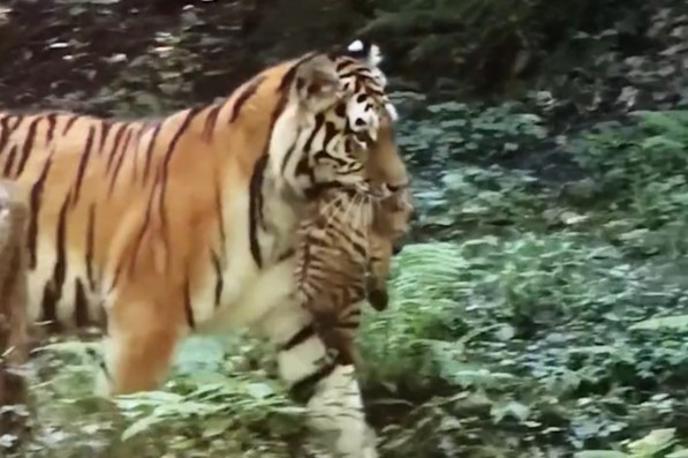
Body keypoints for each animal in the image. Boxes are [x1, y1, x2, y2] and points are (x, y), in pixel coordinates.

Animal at [0, 39, 413, 457]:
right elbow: (134, 424)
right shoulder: (144, 322)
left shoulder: (292, 316)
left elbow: (341, 408)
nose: (400, 187)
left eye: (391, 129)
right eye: (361, 137)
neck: (286, 208)